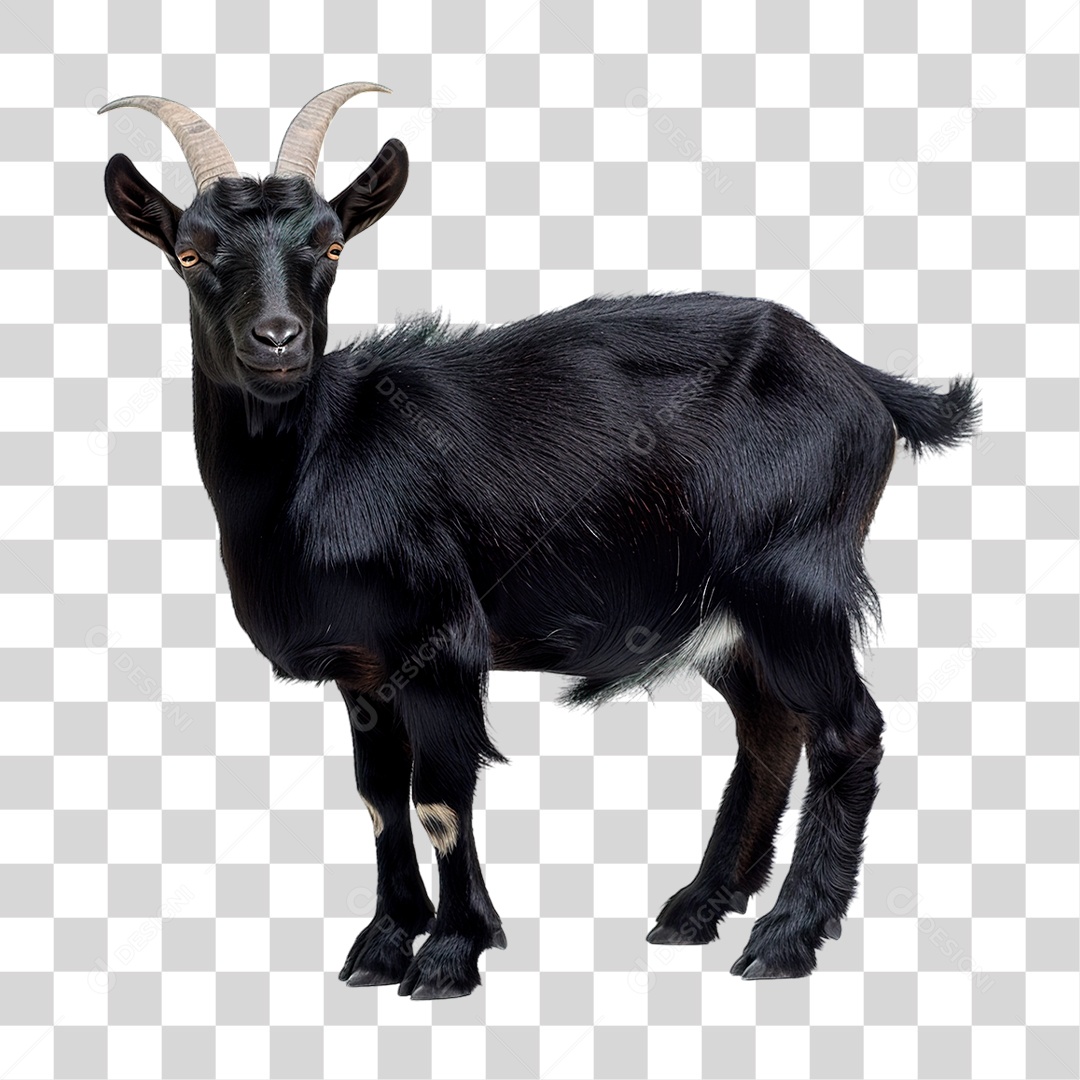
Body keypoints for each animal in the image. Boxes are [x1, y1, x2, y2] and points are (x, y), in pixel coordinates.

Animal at [101, 83, 980, 998]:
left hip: (795, 581)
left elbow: (439, 797)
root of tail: (859, 380)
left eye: (332, 243)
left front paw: (452, 952)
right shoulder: (364, 668)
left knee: (847, 729)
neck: (322, 456)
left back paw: (787, 935)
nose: (278, 339)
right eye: (191, 253)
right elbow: (378, 797)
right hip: (732, 614)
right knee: (771, 727)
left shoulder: (441, 638)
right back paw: (697, 908)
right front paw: (383, 943)